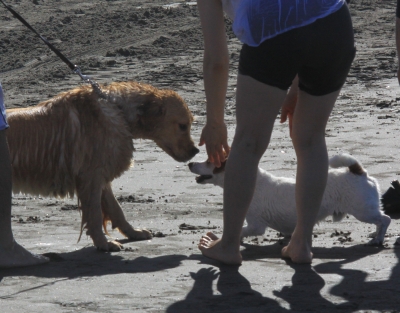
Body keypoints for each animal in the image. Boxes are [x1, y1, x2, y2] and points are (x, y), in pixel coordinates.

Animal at [5, 81, 199, 251]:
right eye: (183, 126)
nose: (196, 151)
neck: (119, 111)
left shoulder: (102, 177)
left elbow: (116, 209)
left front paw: (133, 233)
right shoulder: (91, 177)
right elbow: (95, 214)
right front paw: (103, 243)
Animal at [190, 155, 390, 245]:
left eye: (208, 161)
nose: (190, 163)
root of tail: (358, 172)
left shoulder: (256, 226)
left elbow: (242, 230)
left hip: (363, 211)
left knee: (385, 219)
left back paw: (378, 239)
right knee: (380, 220)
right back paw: (375, 234)